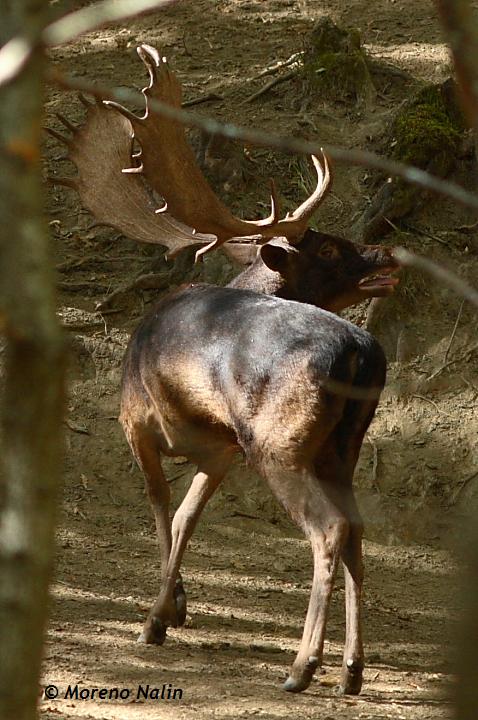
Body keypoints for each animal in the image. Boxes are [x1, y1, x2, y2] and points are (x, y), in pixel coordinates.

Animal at [49, 46, 400, 696]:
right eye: (331, 249)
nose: (385, 253)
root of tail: (362, 352)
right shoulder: (220, 448)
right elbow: (186, 516)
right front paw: (173, 607)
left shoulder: (136, 420)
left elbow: (162, 505)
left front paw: (158, 618)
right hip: (341, 447)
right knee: (358, 532)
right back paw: (351, 670)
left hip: (280, 441)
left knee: (329, 530)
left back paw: (301, 667)